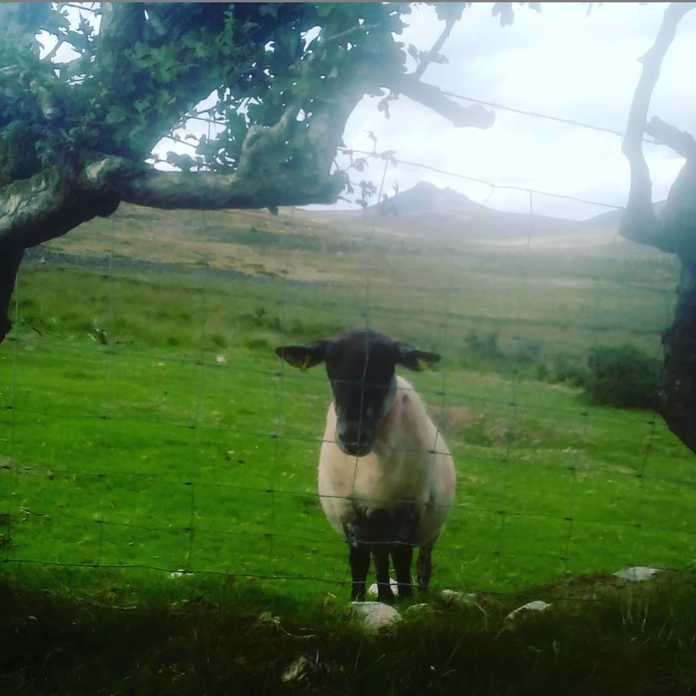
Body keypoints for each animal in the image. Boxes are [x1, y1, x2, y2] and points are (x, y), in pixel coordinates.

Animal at [276, 328, 456, 603]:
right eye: (330, 365)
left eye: (387, 366)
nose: (353, 435)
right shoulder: (348, 508)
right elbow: (359, 560)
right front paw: (358, 600)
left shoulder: (410, 507)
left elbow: (402, 560)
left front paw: (406, 598)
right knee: (380, 558)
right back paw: (385, 596)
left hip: (430, 527)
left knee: (422, 562)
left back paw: (417, 594)